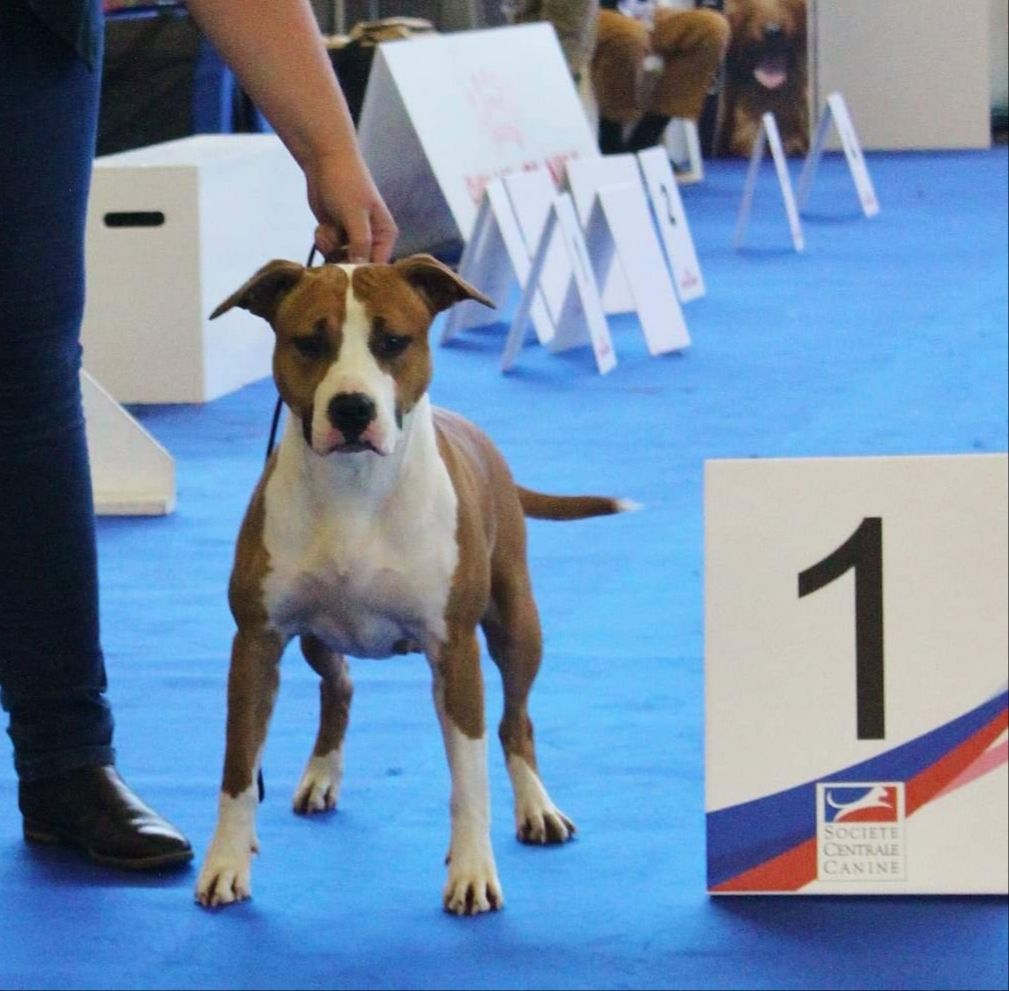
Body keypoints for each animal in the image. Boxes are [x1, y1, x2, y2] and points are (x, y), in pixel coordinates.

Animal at [191, 254, 625, 916]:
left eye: (393, 342)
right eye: (309, 342)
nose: (351, 409)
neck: (354, 488)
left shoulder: (456, 651)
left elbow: (469, 777)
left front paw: (472, 873)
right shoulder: (257, 644)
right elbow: (238, 769)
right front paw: (225, 865)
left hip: (516, 626)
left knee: (515, 721)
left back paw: (537, 808)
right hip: (318, 636)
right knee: (339, 687)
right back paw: (321, 774)